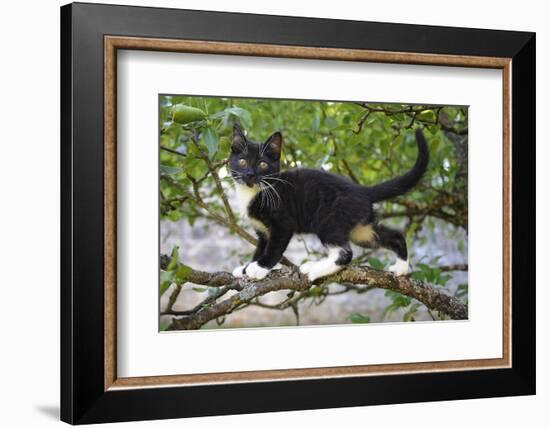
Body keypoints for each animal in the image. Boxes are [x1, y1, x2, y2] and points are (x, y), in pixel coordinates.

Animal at [229, 123, 432, 280]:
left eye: (262, 164)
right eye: (242, 162)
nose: (250, 175)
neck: (255, 191)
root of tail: (361, 190)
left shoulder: (283, 223)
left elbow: (274, 248)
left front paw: (259, 268)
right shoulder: (262, 231)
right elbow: (260, 248)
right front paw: (246, 267)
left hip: (329, 219)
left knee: (344, 254)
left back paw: (313, 269)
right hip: (360, 229)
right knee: (392, 235)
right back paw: (402, 268)